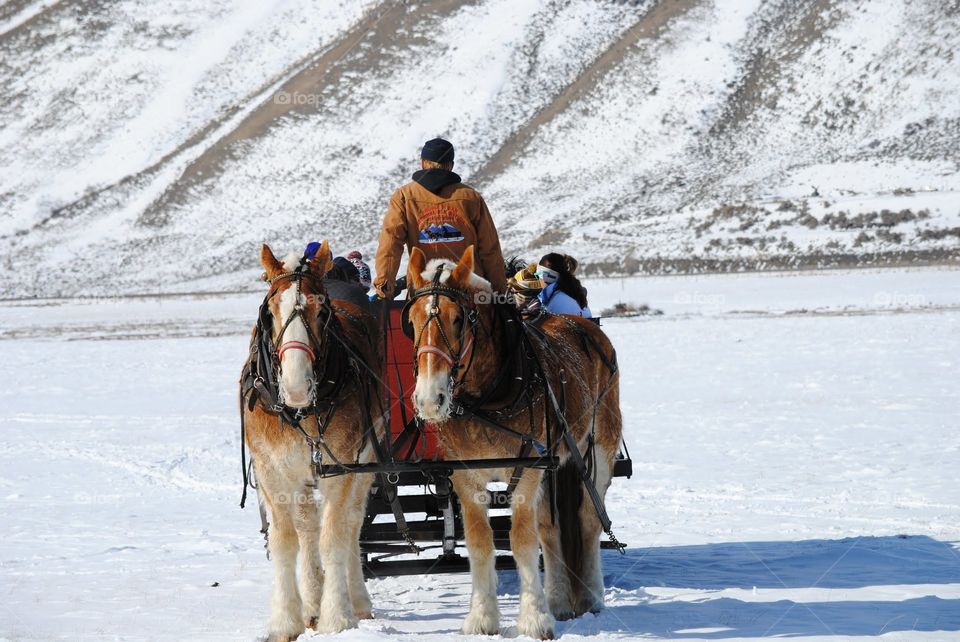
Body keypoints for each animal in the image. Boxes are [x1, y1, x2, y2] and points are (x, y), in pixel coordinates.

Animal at [240, 241, 382, 641]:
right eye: (270, 311)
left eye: (322, 311)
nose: (296, 386)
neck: (300, 411)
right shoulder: (271, 472)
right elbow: (286, 540)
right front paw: (285, 620)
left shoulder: (342, 468)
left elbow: (333, 536)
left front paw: (337, 617)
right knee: (307, 527)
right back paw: (311, 603)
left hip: (364, 462)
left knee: (351, 523)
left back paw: (355, 600)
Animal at [403, 245, 623, 639]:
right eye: (410, 322)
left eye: (459, 319)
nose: (429, 399)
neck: (490, 396)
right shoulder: (465, 476)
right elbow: (480, 543)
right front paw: (482, 619)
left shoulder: (527, 469)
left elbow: (521, 541)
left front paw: (534, 620)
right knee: (550, 528)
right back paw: (559, 601)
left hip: (597, 448)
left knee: (588, 518)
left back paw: (591, 597)